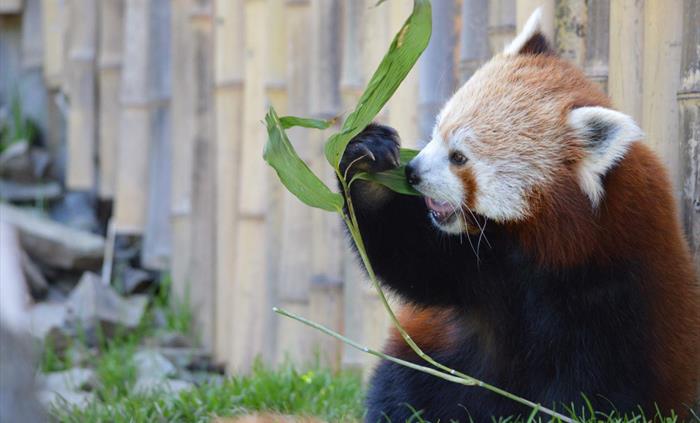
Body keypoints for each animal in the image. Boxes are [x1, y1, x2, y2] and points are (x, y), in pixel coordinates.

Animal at [338, 9, 700, 423]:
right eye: (436, 132)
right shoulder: (477, 266)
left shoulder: (617, 284)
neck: (541, 249)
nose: (412, 173)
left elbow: (595, 384)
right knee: (406, 381)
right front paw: (368, 160)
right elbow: (412, 256)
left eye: (459, 157)